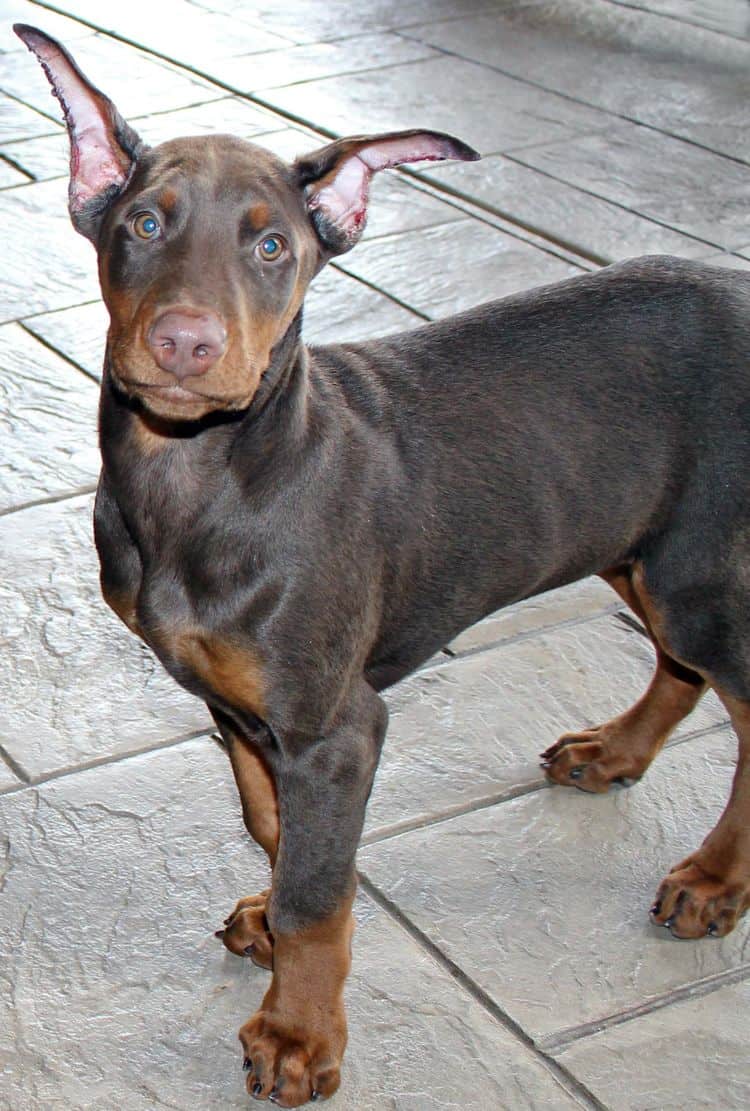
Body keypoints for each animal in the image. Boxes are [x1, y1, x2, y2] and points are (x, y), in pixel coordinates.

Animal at [16, 19, 750, 1111]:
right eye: (142, 225)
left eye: (272, 246)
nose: (185, 343)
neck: (208, 476)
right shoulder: (237, 706)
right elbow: (277, 830)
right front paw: (272, 925)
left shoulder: (337, 726)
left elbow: (319, 888)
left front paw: (299, 1033)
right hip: (637, 539)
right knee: (681, 664)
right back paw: (616, 751)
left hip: (697, 566)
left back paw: (713, 879)